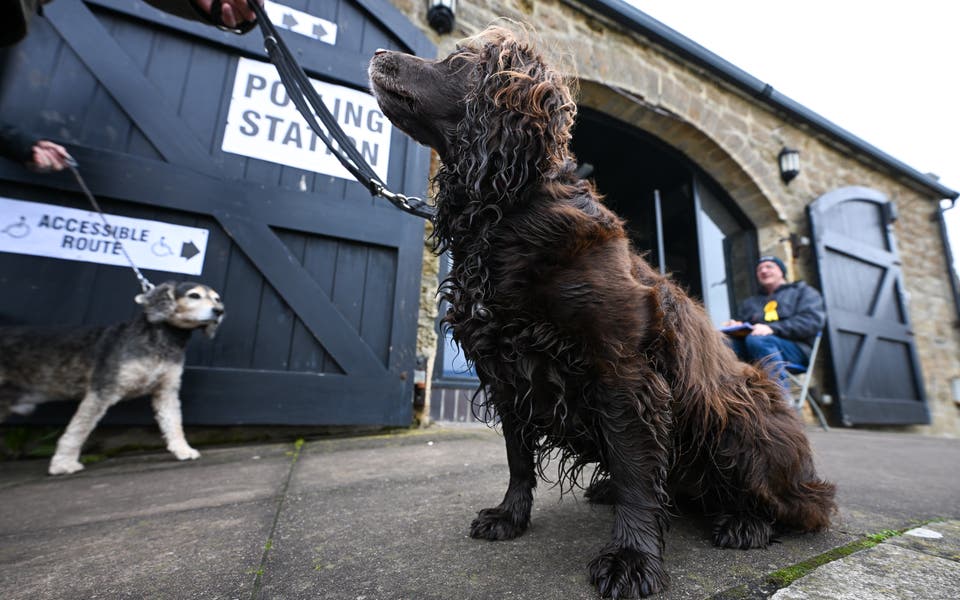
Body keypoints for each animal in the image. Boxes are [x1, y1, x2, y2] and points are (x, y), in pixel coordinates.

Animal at [0, 284, 223, 476]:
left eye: (217, 298)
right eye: (194, 295)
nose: (219, 311)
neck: (163, 338)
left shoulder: (166, 390)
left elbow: (173, 422)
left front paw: (183, 449)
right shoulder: (101, 390)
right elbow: (78, 429)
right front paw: (64, 463)